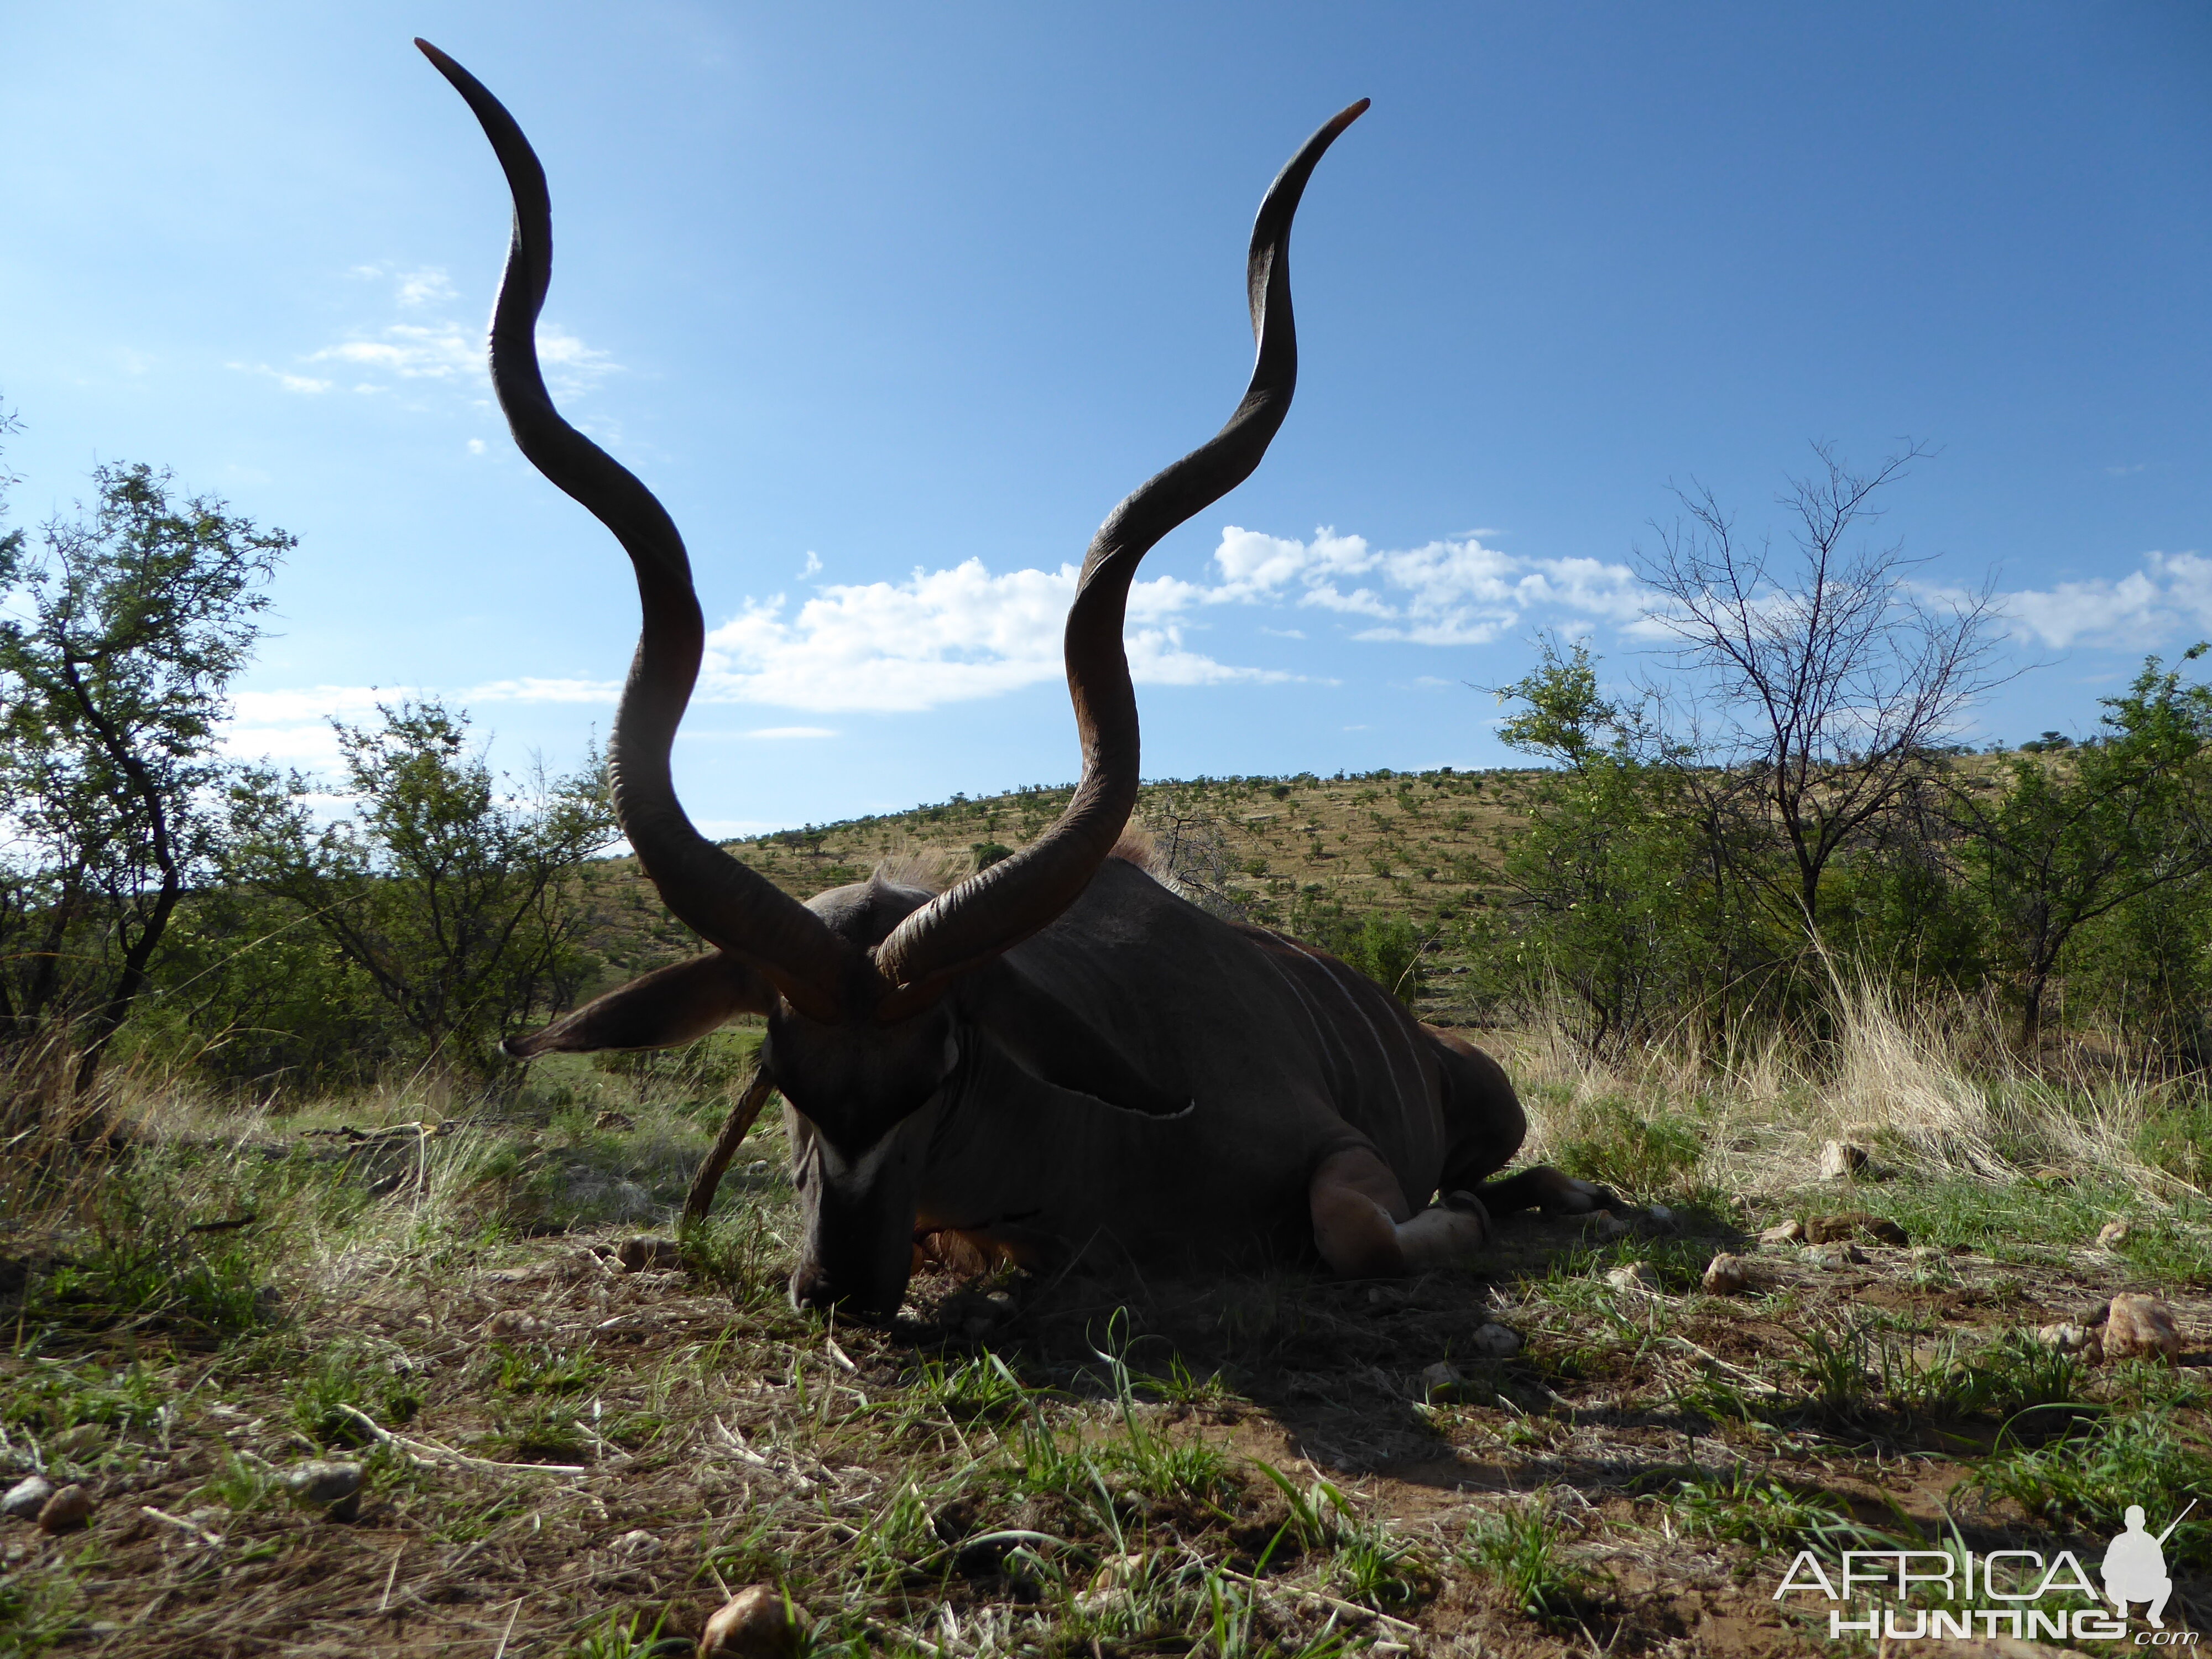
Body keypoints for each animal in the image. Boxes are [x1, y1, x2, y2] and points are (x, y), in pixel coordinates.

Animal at [418, 39, 1610, 1318]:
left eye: (941, 1064)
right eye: (779, 1069)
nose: (836, 1284)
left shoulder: (1341, 1155)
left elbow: (1361, 1232)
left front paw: (1458, 1221)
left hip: (1490, 1105)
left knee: (1509, 1173)